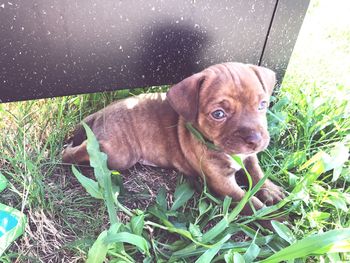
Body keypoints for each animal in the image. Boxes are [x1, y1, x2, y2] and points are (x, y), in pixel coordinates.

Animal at [63, 63, 284, 218]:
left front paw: (272, 190)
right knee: (83, 150)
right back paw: (67, 153)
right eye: (218, 114)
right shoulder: (223, 183)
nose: (255, 140)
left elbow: (256, 172)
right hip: (118, 154)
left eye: (262, 104)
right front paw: (276, 218)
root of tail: (100, 113)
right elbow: (251, 204)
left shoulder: (249, 157)